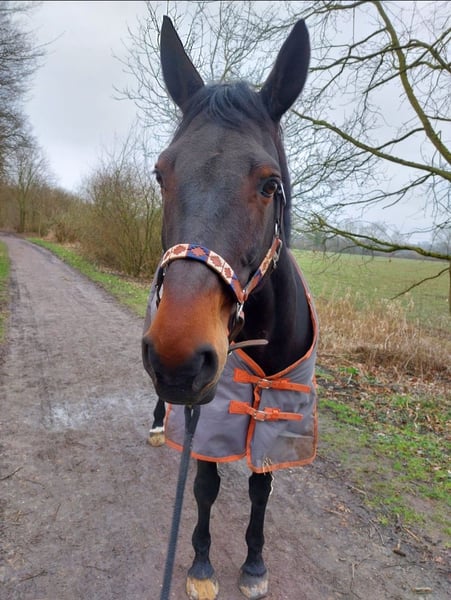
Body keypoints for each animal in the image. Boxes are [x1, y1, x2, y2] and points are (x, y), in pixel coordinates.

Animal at [142, 16, 318, 600]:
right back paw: (159, 424)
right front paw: (200, 565)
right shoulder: (211, 407)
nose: (179, 356)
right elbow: (204, 484)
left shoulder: (277, 408)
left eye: (269, 184)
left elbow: (261, 489)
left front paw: (255, 564)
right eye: (161, 174)